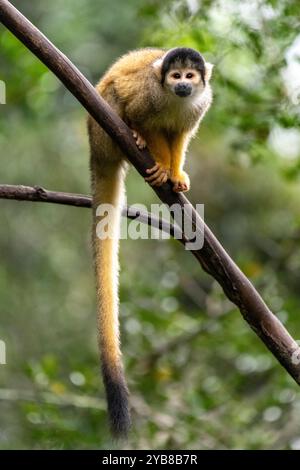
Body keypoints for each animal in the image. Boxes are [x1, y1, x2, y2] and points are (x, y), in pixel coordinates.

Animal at [86, 47, 213, 436]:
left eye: (190, 76)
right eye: (175, 77)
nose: (184, 85)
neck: (174, 98)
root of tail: (94, 149)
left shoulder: (201, 103)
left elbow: (181, 134)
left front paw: (176, 171)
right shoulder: (149, 94)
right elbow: (142, 115)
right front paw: (158, 159)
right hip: (101, 131)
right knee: (116, 97)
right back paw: (136, 141)